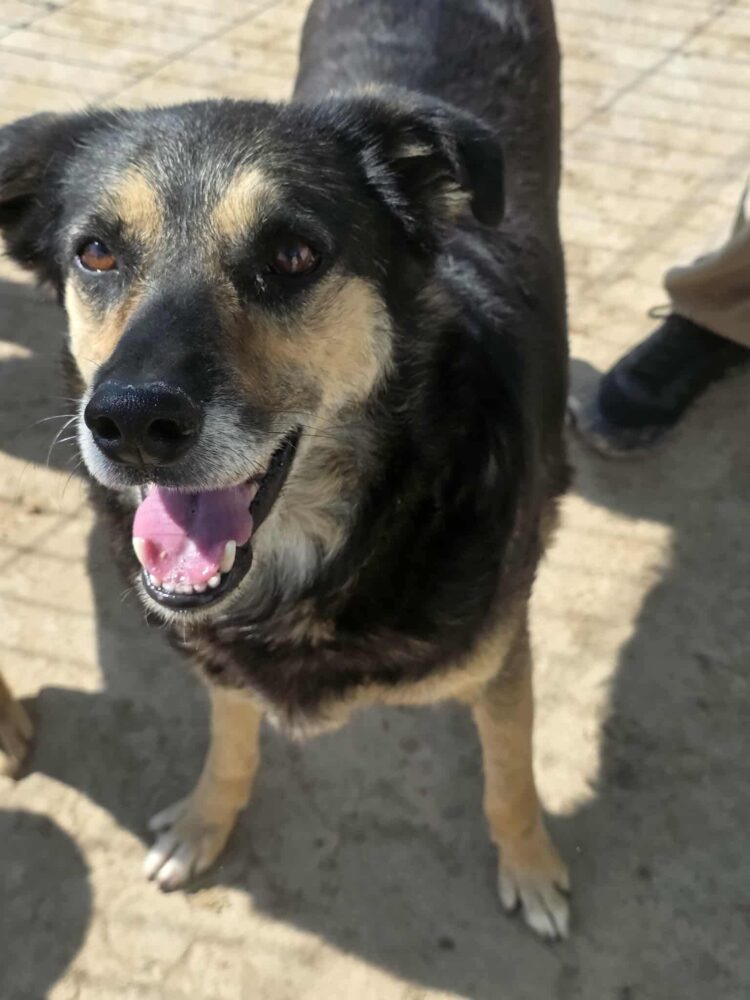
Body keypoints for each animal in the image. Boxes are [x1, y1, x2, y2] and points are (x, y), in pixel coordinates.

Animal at [0, 0, 570, 939]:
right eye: (96, 253)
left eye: (294, 254)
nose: (132, 424)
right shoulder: (222, 659)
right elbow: (231, 740)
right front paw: (205, 822)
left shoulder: (502, 653)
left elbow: (511, 777)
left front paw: (532, 866)